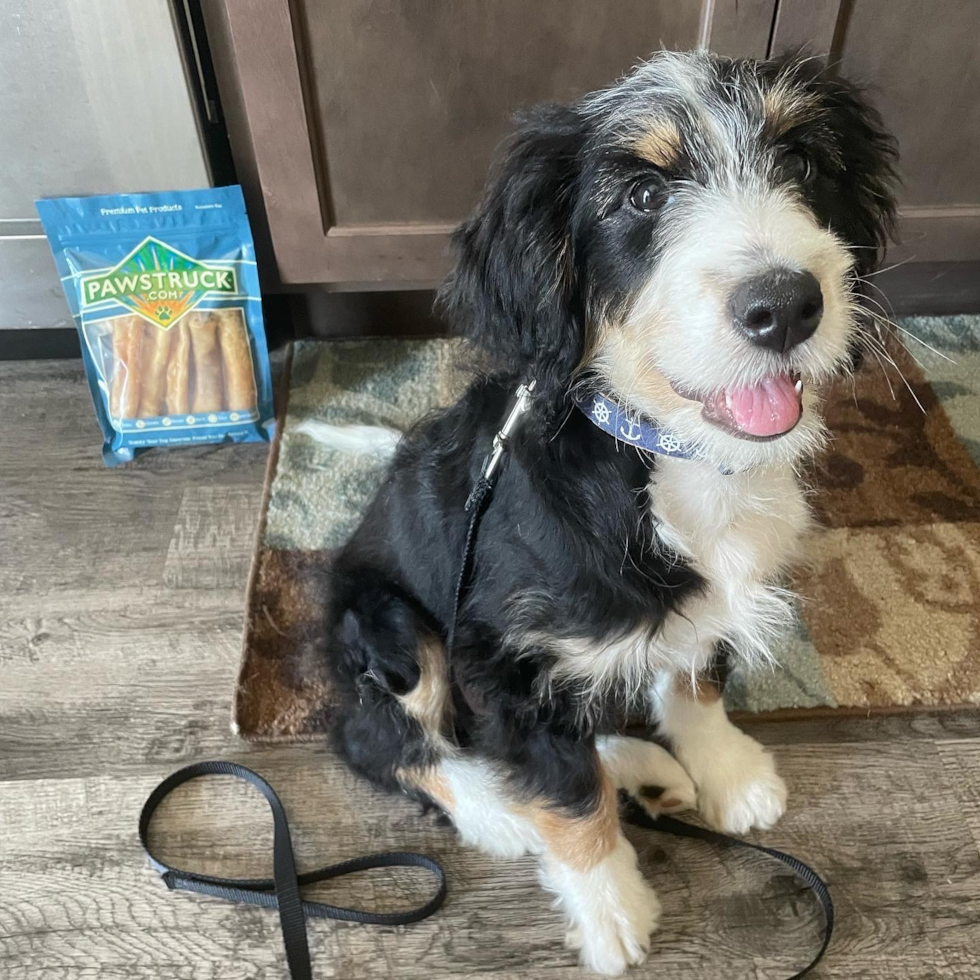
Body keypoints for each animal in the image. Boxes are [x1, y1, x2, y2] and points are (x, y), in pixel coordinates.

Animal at [324, 51, 896, 972]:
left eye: (802, 162)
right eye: (643, 195)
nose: (785, 306)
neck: (668, 456)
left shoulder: (703, 604)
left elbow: (696, 680)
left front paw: (728, 772)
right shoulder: (506, 655)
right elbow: (565, 795)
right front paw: (610, 910)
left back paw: (639, 766)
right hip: (390, 624)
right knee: (382, 738)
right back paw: (495, 808)